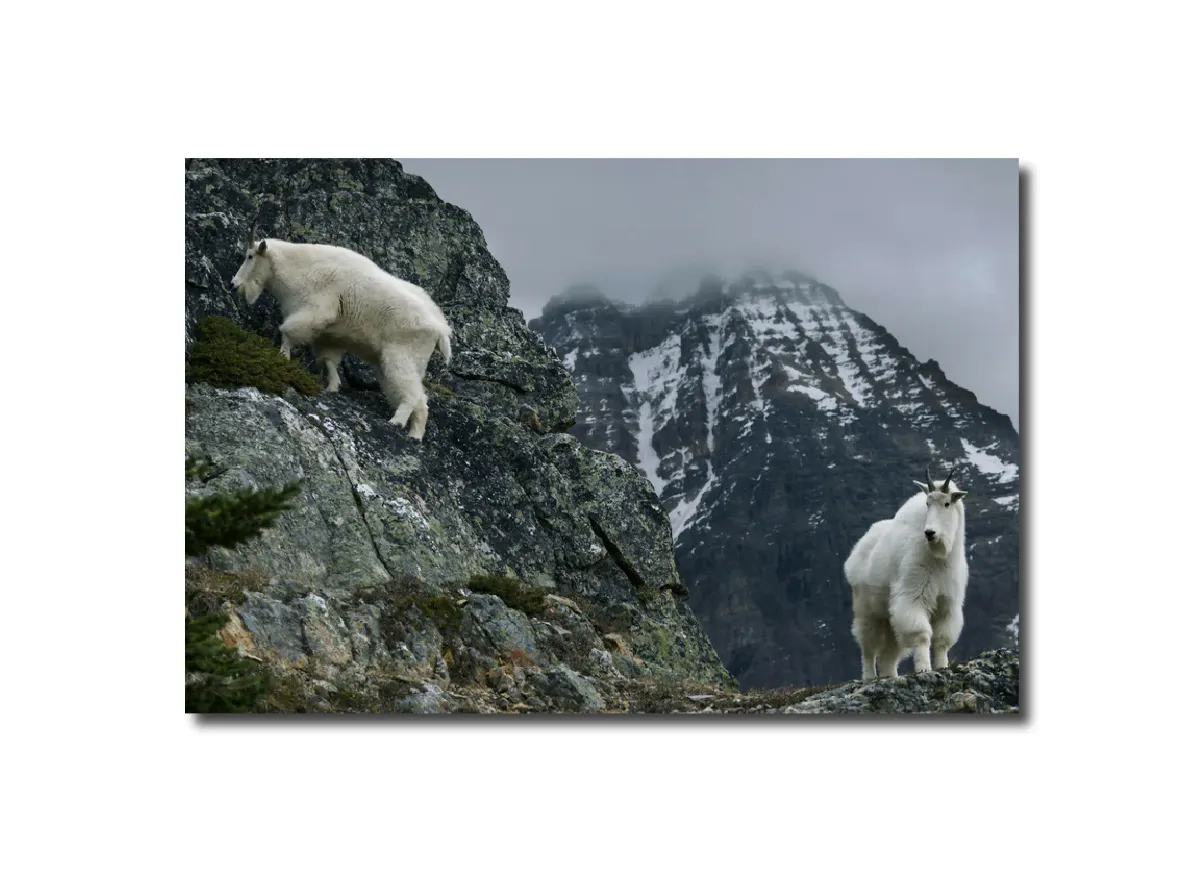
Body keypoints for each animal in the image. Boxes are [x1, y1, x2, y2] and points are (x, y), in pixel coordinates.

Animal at [228, 230, 452, 438]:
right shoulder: (327, 334)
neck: (298, 268)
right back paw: (415, 435)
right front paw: (332, 387)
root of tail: (441, 329)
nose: (233, 285)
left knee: (412, 394)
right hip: (408, 362)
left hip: (400, 355)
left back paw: (396, 421)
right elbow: (328, 360)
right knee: (420, 401)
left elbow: (287, 333)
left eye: (250, 256)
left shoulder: (316, 312)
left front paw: (282, 358)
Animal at [842, 462, 972, 679]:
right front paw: (924, 668)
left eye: (947, 503)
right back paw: (869, 676)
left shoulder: (948, 602)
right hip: (867, 610)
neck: (939, 556)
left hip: (888, 618)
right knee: (868, 646)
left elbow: (942, 640)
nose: (930, 533)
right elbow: (921, 634)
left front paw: (942, 666)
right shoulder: (913, 594)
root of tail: (857, 550)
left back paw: (889, 676)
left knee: (888, 653)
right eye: (927, 503)